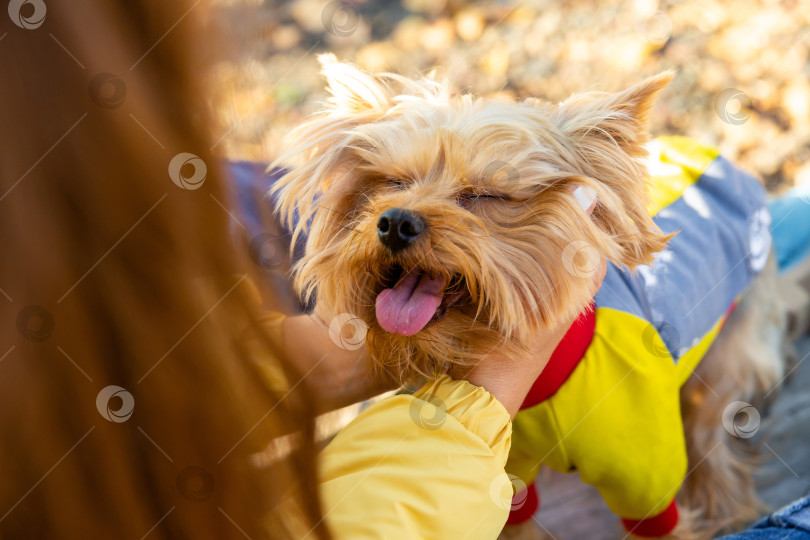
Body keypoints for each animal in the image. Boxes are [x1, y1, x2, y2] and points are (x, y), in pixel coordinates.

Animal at [270, 56, 784, 540]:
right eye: (393, 182)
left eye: (484, 194)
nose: (396, 221)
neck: (538, 384)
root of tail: (715, 155)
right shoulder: (504, 468)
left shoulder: (644, 472)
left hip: (734, 340)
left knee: (709, 425)